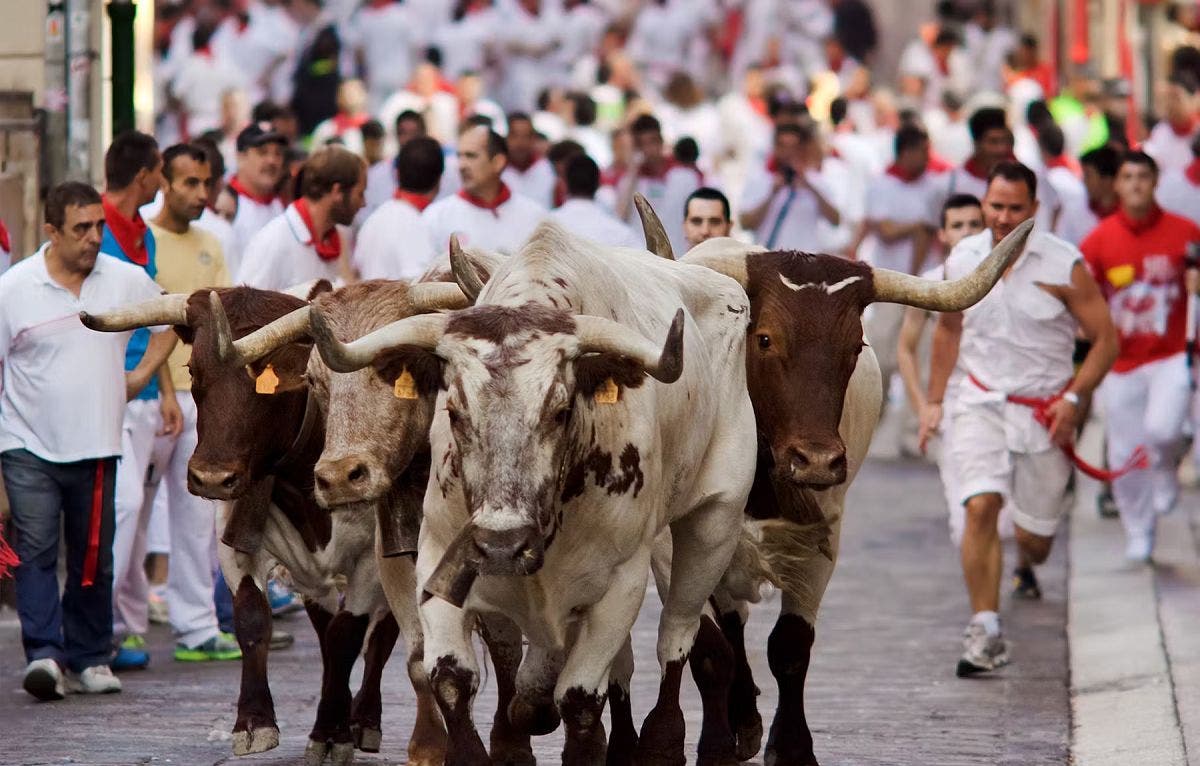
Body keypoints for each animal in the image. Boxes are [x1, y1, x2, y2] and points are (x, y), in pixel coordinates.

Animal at [79, 282, 463, 766]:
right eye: (192, 369)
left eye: (275, 382)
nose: (210, 476)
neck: (303, 480)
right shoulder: (235, 542)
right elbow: (253, 621)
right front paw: (255, 722)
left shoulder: (372, 560)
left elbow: (349, 636)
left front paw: (332, 731)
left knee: (380, 636)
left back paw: (362, 721)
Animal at [309, 223, 758, 766]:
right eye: (453, 410)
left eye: (561, 410)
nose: (503, 544)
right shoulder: (439, 557)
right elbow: (452, 678)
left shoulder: (620, 586)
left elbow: (582, 699)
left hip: (713, 523)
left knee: (679, 635)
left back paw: (666, 741)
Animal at [681, 218, 1036, 763]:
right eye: (764, 339)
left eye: (855, 347)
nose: (818, 460)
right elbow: (708, 650)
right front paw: (720, 743)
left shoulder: (822, 539)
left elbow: (790, 647)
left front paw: (792, 747)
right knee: (730, 623)